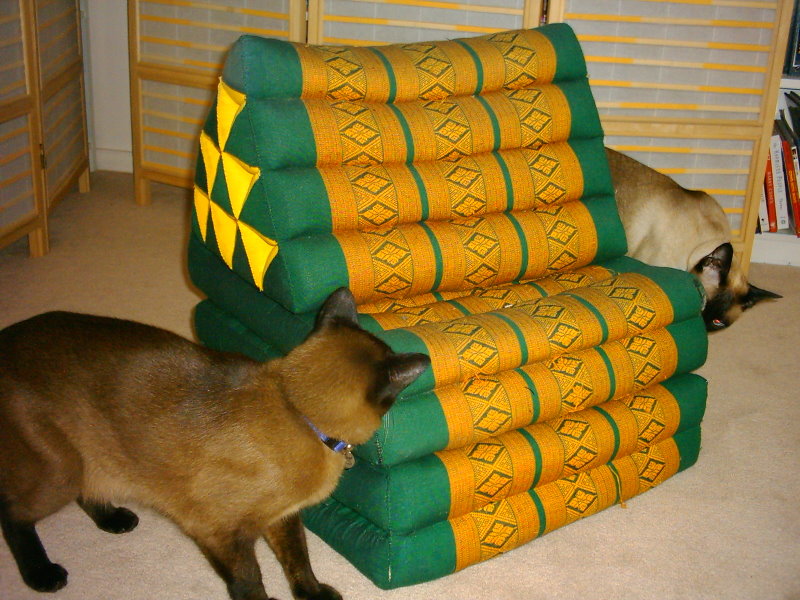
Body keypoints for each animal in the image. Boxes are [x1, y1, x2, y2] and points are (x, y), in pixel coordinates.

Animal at [0, 287, 430, 600]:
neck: (297, 412)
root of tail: (7, 337)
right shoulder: (220, 532)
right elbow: (250, 582)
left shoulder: (283, 517)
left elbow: (299, 560)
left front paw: (313, 596)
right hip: (62, 470)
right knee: (14, 514)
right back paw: (43, 576)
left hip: (96, 461)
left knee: (89, 493)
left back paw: (114, 521)